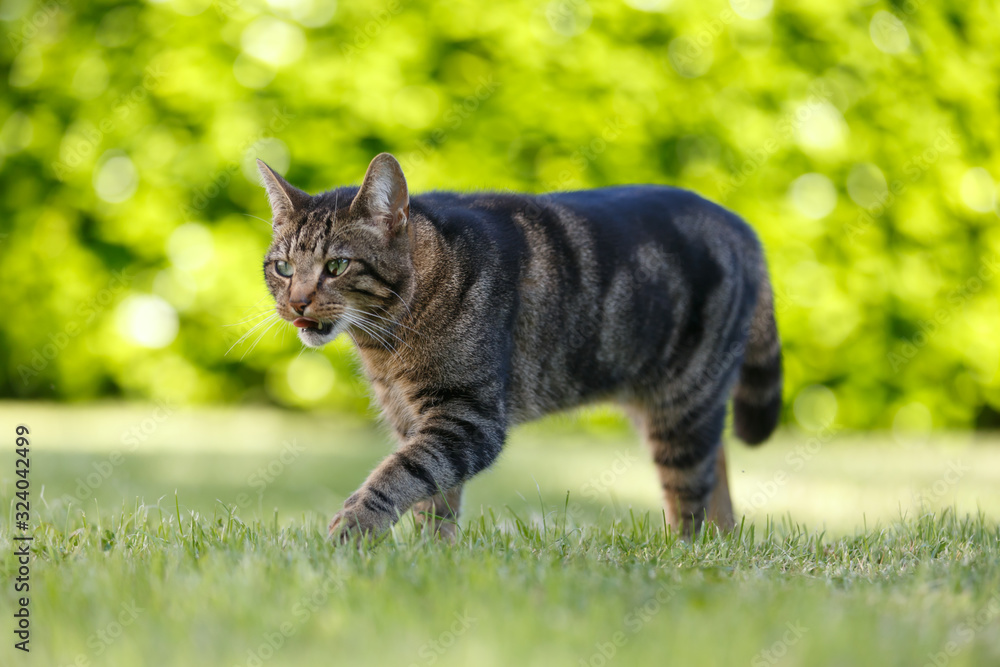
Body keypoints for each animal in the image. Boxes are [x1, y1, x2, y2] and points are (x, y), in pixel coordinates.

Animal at [256, 153, 780, 544]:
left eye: (337, 266)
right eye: (283, 268)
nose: (296, 302)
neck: (387, 341)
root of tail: (740, 225)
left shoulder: (468, 416)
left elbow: (403, 474)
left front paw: (356, 527)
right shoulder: (416, 418)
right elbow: (433, 496)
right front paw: (430, 556)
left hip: (683, 404)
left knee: (691, 491)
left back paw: (687, 554)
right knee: (717, 464)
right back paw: (722, 542)